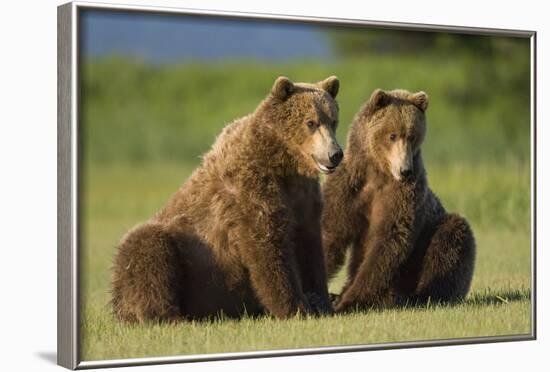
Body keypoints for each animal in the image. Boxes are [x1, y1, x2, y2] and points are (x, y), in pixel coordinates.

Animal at [112, 75, 344, 322]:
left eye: (333, 121)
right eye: (311, 123)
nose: (335, 154)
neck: (283, 163)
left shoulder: (303, 198)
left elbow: (309, 247)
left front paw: (321, 301)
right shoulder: (250, 189)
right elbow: (267, 245)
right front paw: (295, 307)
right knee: (144, 250)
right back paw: (170, 316)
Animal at [326, 88, 476, 310]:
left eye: (412, 136)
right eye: (392, 135)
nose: (405, 170)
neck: (379, 173)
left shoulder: (404, 196)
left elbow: (388, 241)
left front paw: (351, 301)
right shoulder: (349, 188)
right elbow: (332, 231)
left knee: (451, 238)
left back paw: (410, 297)